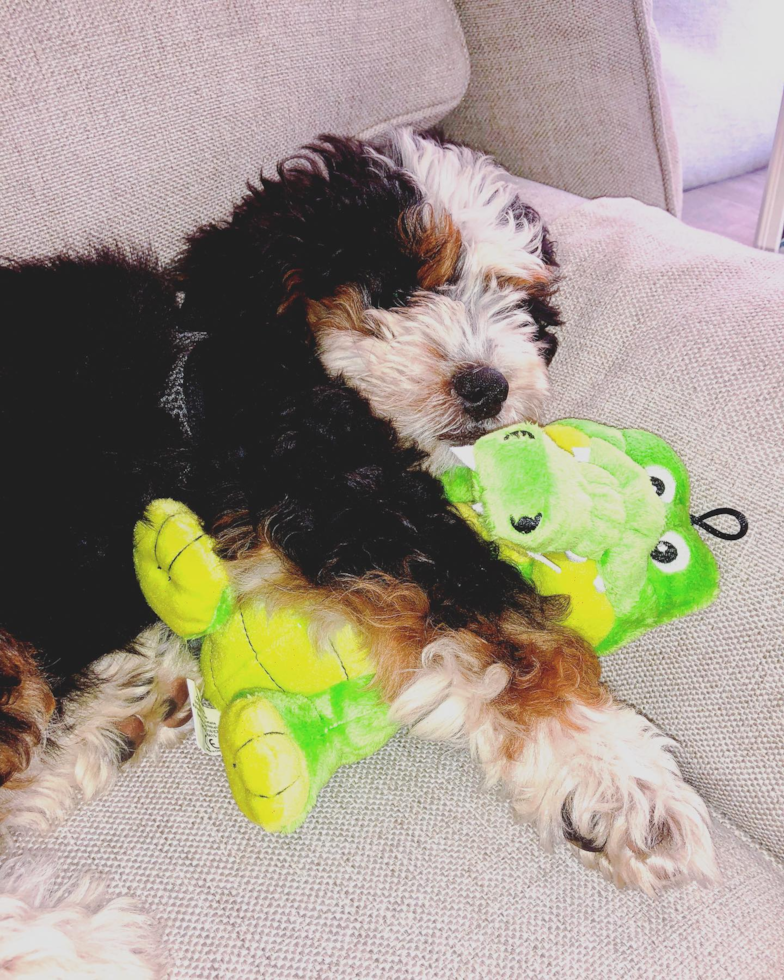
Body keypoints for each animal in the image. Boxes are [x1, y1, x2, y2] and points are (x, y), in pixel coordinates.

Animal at [0, 134, 712, 908]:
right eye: (398, 288)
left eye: (519, 303)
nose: (487, 386)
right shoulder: (336, 493)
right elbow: (503, 621)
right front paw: (621, 780)